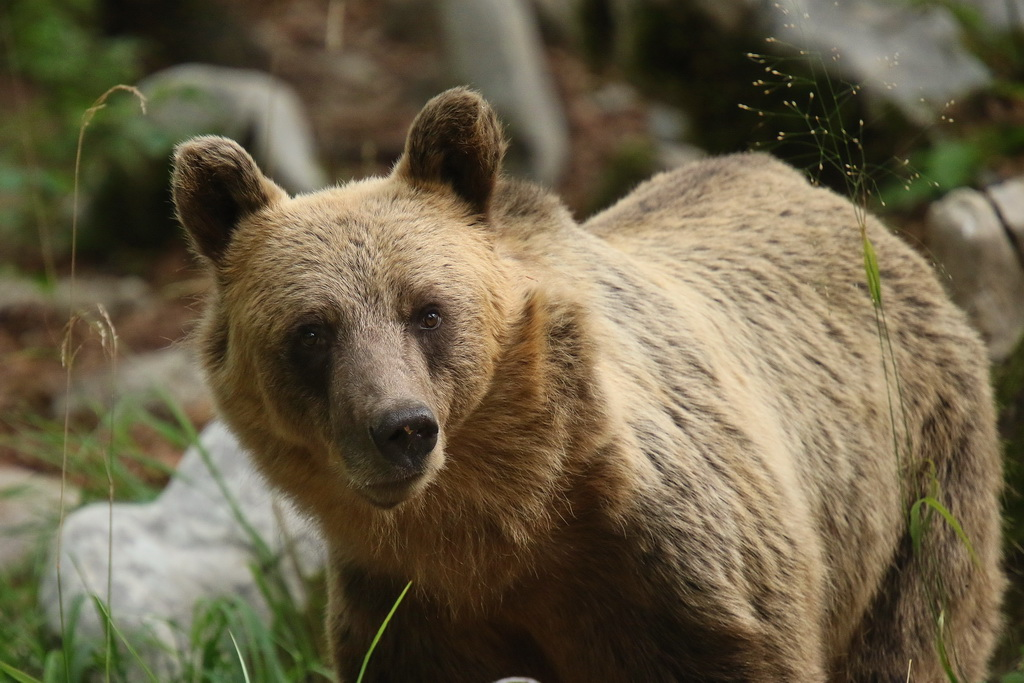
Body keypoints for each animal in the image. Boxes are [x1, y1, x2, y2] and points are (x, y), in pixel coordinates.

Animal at [172, 88, 1003, 679]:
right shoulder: (405, 606)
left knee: (921, 634)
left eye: (428, 309)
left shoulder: (684, 579)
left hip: (916, 484)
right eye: (312, 330)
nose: (401, 427)